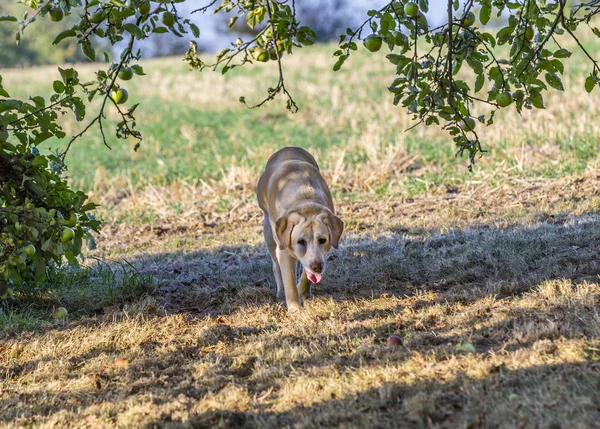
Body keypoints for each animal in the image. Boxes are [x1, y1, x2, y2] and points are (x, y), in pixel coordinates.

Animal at [256, 147, 344, 310]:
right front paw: (295, 309)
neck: (306, 200)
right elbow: (289, 281)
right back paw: (281, 293)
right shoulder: (284, 250)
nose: (317, 267)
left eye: (322, 240)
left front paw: (302, 292)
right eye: (300, 241)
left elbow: (305, 274)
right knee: (276, 266)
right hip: (269, 232)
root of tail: (287, 148)